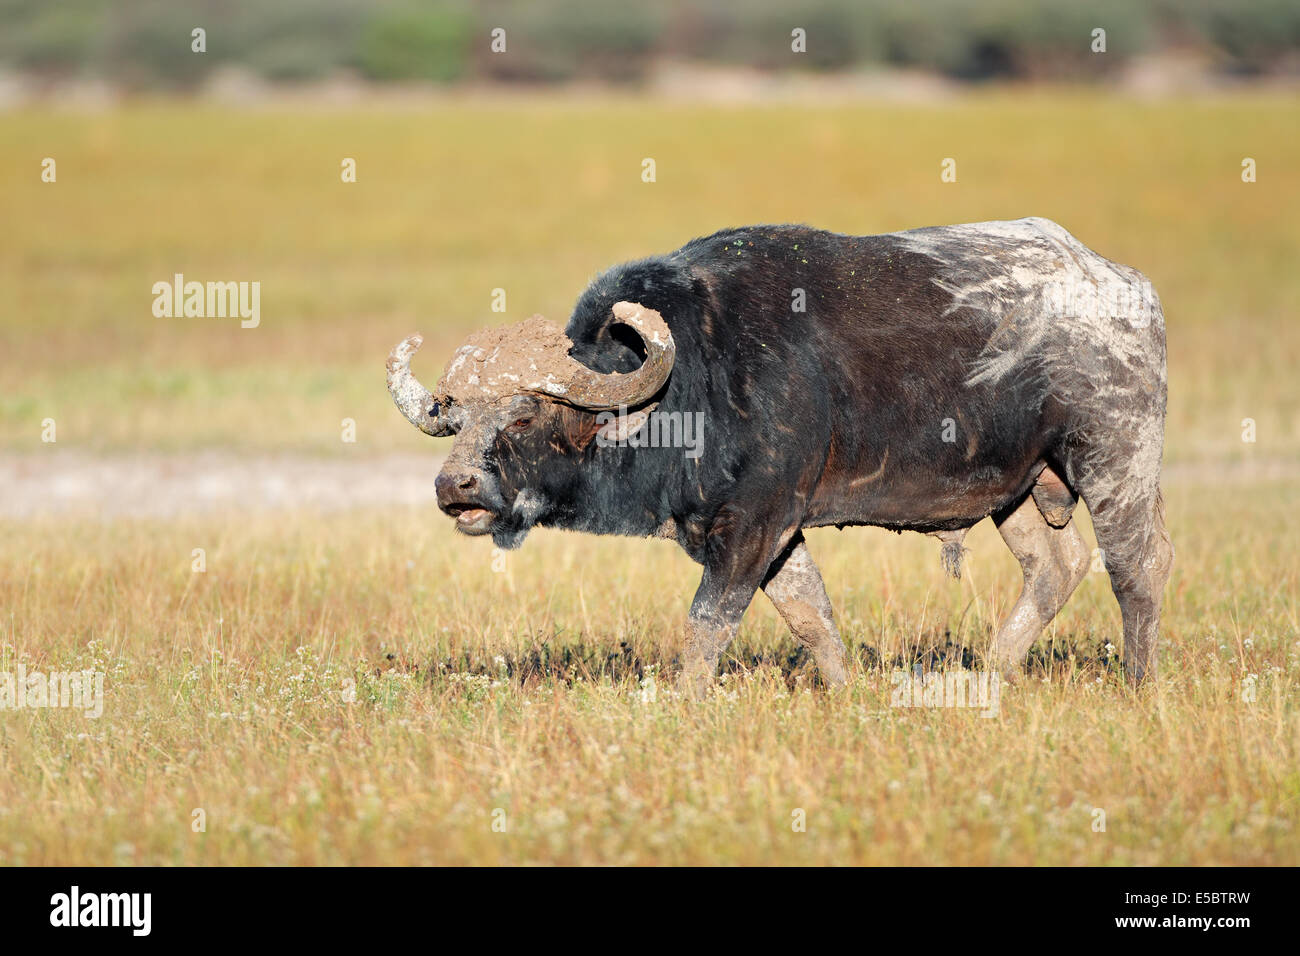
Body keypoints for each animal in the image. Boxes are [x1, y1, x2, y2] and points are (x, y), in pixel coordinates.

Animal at [387, 218, 1180, 697]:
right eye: (456, 417)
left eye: (525, 412)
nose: (455, 486)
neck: (689, 383)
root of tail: (1129, 290)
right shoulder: (773, 529)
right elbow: (811, 617)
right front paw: (848, 689)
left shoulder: (753, 524)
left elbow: (707, 625)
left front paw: (685, 700)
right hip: (1015, 487)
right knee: (1057, 566)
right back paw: (990, 671)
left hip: (1113, 456)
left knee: (1136, 564)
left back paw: (1138, 681)